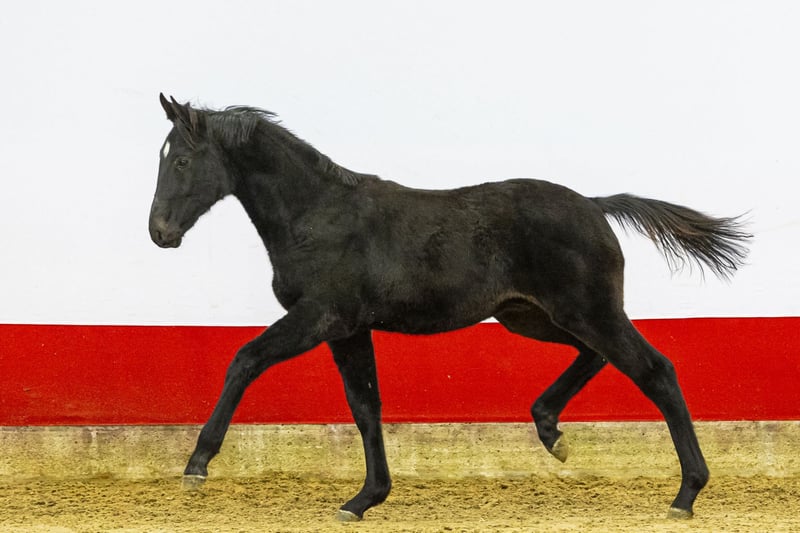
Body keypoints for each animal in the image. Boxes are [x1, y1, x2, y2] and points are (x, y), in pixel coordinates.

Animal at [149, 94, 750, 522]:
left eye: (182, 160)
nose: (159, 233)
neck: (317, 215)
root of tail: (594, 205)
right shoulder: (349, 329)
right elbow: (365, 406)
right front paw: (365, 498)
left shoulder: (320, 316)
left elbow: (246, 359)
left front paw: (197, 464)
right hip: (531, 317)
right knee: (597, 356)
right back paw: (551, 432)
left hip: (588, 311)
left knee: (655, 369)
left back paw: (685, 494)